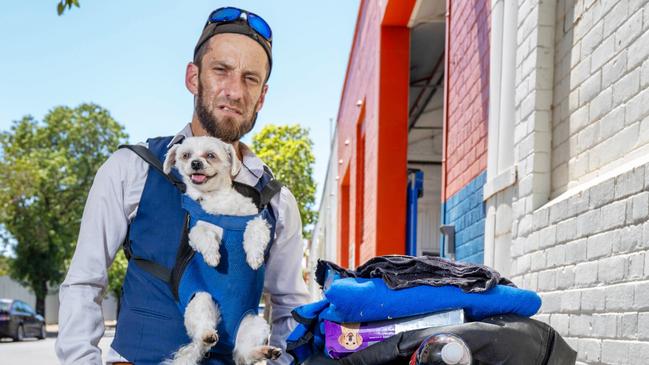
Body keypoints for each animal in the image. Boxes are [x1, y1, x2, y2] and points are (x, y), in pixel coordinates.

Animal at [161, 136, 280, 364]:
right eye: (186, 155)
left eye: (210, 155)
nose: (195, 163)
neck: (215, 199)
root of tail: (228, 340)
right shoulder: (196, 229)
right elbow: (204, 234)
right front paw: (213, 257)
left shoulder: (253, 219)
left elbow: (254, 230)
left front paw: (254, 257)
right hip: (201, 300)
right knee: (203, 335)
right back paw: (207, 336)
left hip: (255, 322)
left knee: (243, 354)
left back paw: (264, 351)